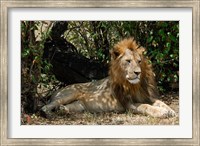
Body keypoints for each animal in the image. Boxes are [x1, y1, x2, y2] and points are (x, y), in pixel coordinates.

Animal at [41, 38, 176, 118]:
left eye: (139, 61)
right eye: (128, 61)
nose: (138, 72)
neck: (134, 85)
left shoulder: (147, 96)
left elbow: (160, 102)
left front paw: (170, 110)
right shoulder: (128, 104)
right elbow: (145, 106)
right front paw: (161, 112)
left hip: (78, 105)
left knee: (66, 107)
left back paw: (62, 110)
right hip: (68, 94)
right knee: (45, 106)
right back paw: (48, 114)